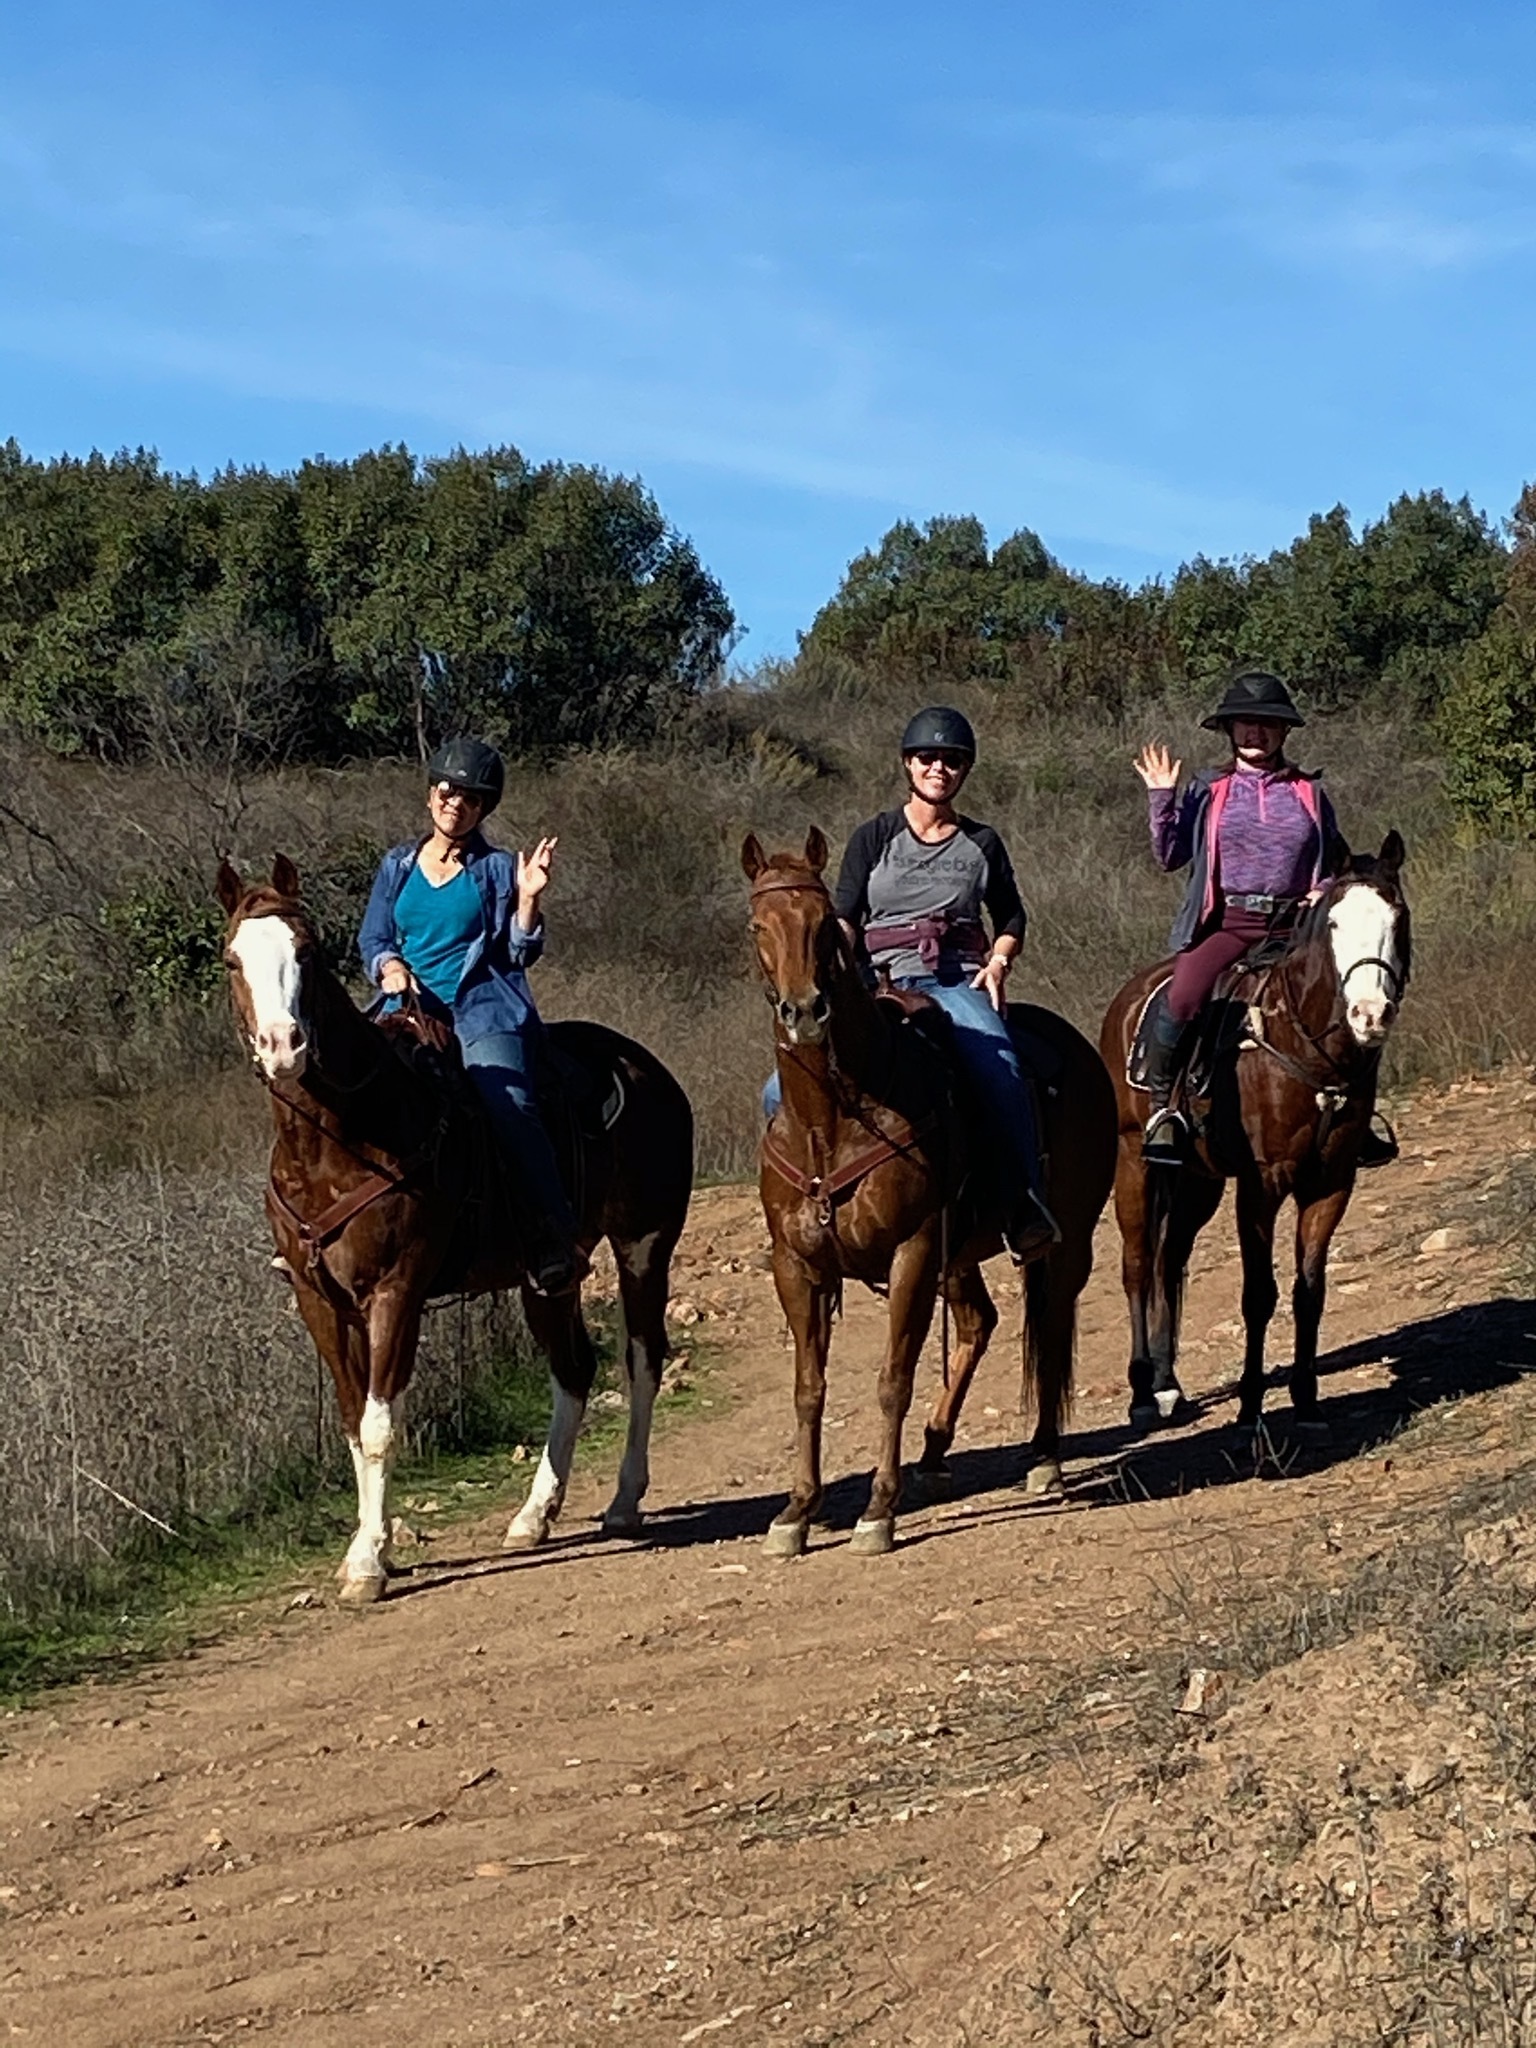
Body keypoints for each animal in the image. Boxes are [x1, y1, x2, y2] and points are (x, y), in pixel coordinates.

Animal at [216, 855, 693, 1602]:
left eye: (308, 951)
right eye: (233, 959)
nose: (283, 1046)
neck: (340, 1141)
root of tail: (645, 1068)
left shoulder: (396, 1292)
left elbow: (381, 1424)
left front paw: (369, 1563)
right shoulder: (319, 1301)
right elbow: (352, 1422)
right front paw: (368, 1548)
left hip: (645, 1245)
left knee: (642, 1359)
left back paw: (623, 1500)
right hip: (548, 1277)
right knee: (573, 1369)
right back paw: (534, 1514)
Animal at [743, 828, 1118, 1555]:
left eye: (823, 924)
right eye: (756, 927)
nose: (804, 1010)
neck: (835, 1118)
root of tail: (1078, 1049)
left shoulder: (911, 1250)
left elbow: (894, 1378)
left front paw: (877, 1510)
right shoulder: (796, 1266)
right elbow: (809, 1387)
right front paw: (796, 1512)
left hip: (1064, 1241)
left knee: (1049, 1325)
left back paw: (1044, 1457)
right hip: (959, 1254)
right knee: (979, 1323)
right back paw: (936, 1452)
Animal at [1099, 832, 1410, 1441]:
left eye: (1397, 916)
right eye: (1333, 922)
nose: (1369, 1013)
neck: (1303, 1043)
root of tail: (1127, 998)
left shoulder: (1330, 1184)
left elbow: (1309, 1291)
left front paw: (1307, 1400)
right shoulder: (1261, 1185)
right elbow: (1259, 1295)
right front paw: (1249, 1409)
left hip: (1197, 1182)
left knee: (1170, 1260)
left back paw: (1168, 1384)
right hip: (1133, 1164)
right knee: (1138, 1265)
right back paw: (1144, 1393)